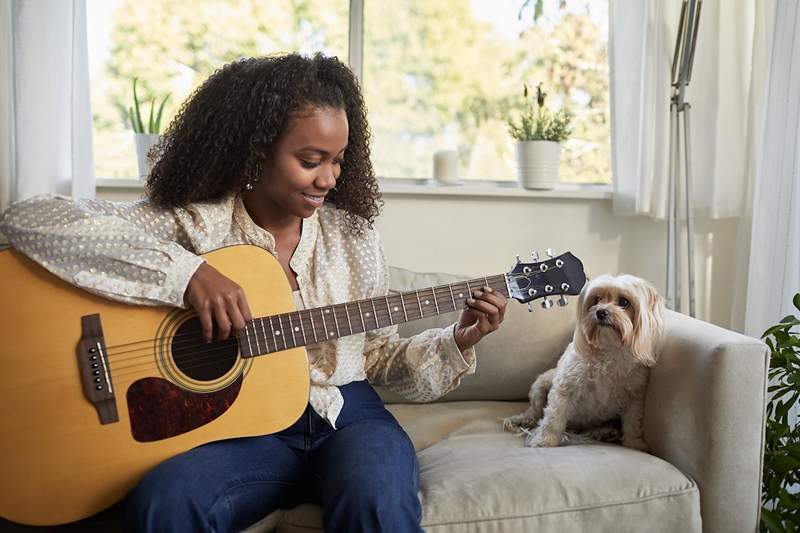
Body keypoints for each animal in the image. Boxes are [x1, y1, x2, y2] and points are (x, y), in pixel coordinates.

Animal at [504, 272, 664, 450]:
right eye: (596, 299)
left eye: (624, 302)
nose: (601, 312)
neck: (609, 350)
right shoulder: (564, 388)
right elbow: (553, 418)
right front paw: (545, 440)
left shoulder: (634, 397)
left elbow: (633, 423)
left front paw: (634, 443)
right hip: (540, 385)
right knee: (534, 412)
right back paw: (521, 420)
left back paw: (605, 432)